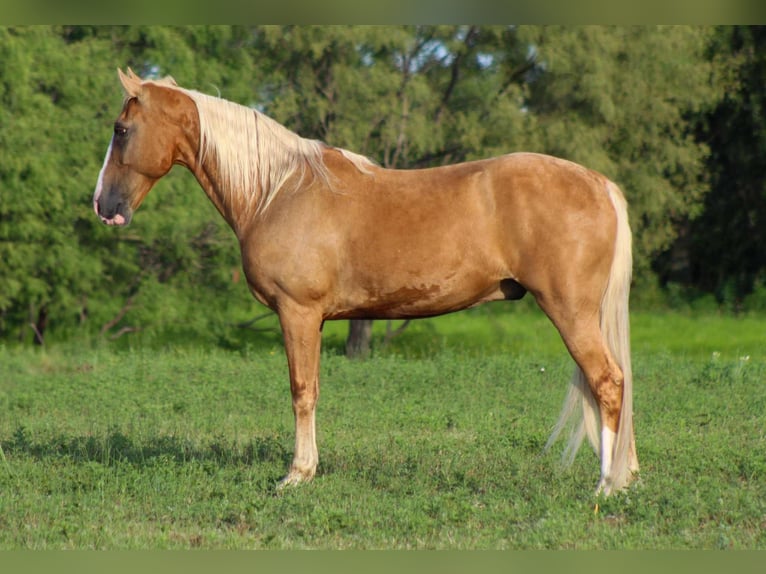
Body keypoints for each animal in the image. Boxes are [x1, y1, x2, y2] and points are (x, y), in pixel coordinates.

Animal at [93, 68, 639, 495]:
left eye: (121, 129)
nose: (104, 206)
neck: (277, 191)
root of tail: (599, 183)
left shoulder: (298, 313)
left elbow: (302, 389)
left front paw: (296, 475)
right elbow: (312, 388)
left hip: (569, 311)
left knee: (608, 382)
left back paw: (606, 486)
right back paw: (623, 476)